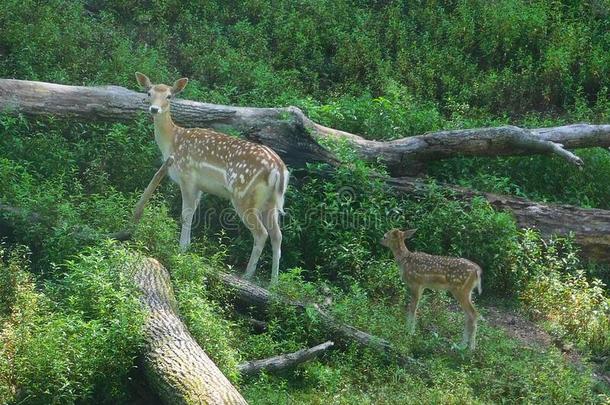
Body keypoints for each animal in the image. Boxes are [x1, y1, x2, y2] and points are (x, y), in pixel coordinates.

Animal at [135, 72, 288, 282]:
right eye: (149, 93)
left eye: (169, 96)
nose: (154, 109)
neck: (172, 143)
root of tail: (279, 170)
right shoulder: (199, 186)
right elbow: (192, 212)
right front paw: (187, 246)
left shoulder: (187, 176)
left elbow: (185, 214)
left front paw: (181, 249)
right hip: (270, 202)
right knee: (277, 235)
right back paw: (274, 282)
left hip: (244, 195)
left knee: (261, 233)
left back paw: (247, 275)